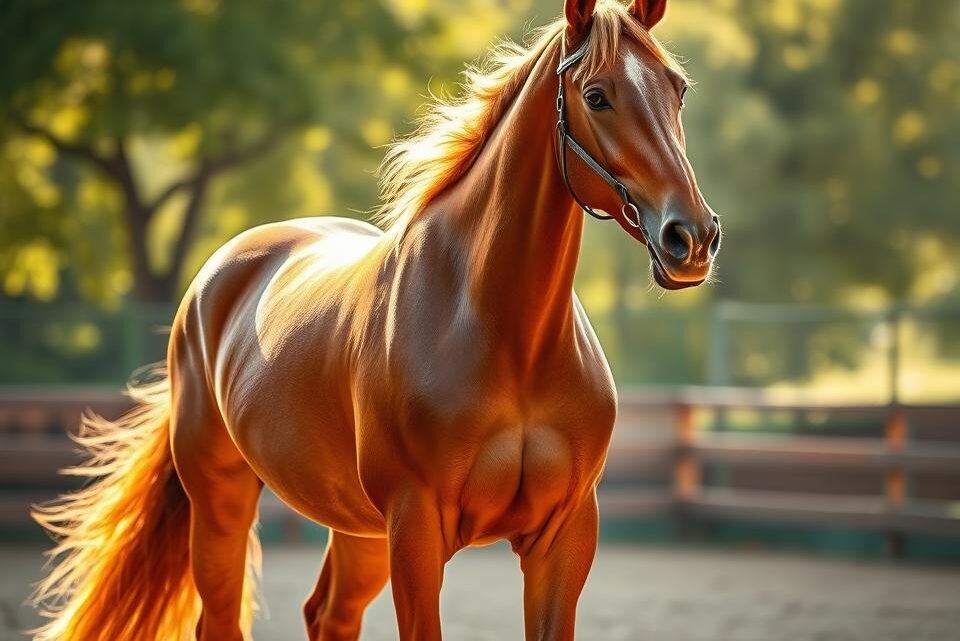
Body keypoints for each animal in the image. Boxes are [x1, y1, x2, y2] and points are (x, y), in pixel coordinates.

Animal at [32, 1, 720, 639]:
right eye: (597, 95)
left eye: (678, 89)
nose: (691, 237)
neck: (506, 337)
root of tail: (215, 278)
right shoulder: (415, 532)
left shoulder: (564, 539)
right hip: (222, 503)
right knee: (222, 620)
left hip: (357, 529)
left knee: (327, 615)